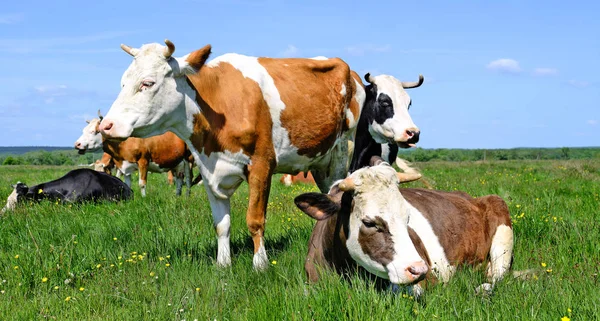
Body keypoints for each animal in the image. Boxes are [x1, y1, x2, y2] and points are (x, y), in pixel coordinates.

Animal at [292, 156, 512, 294]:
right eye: (369, 223)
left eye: (407, 218)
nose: (419, 269)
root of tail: (468, 196)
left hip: (501, 229)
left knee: (497, 276)